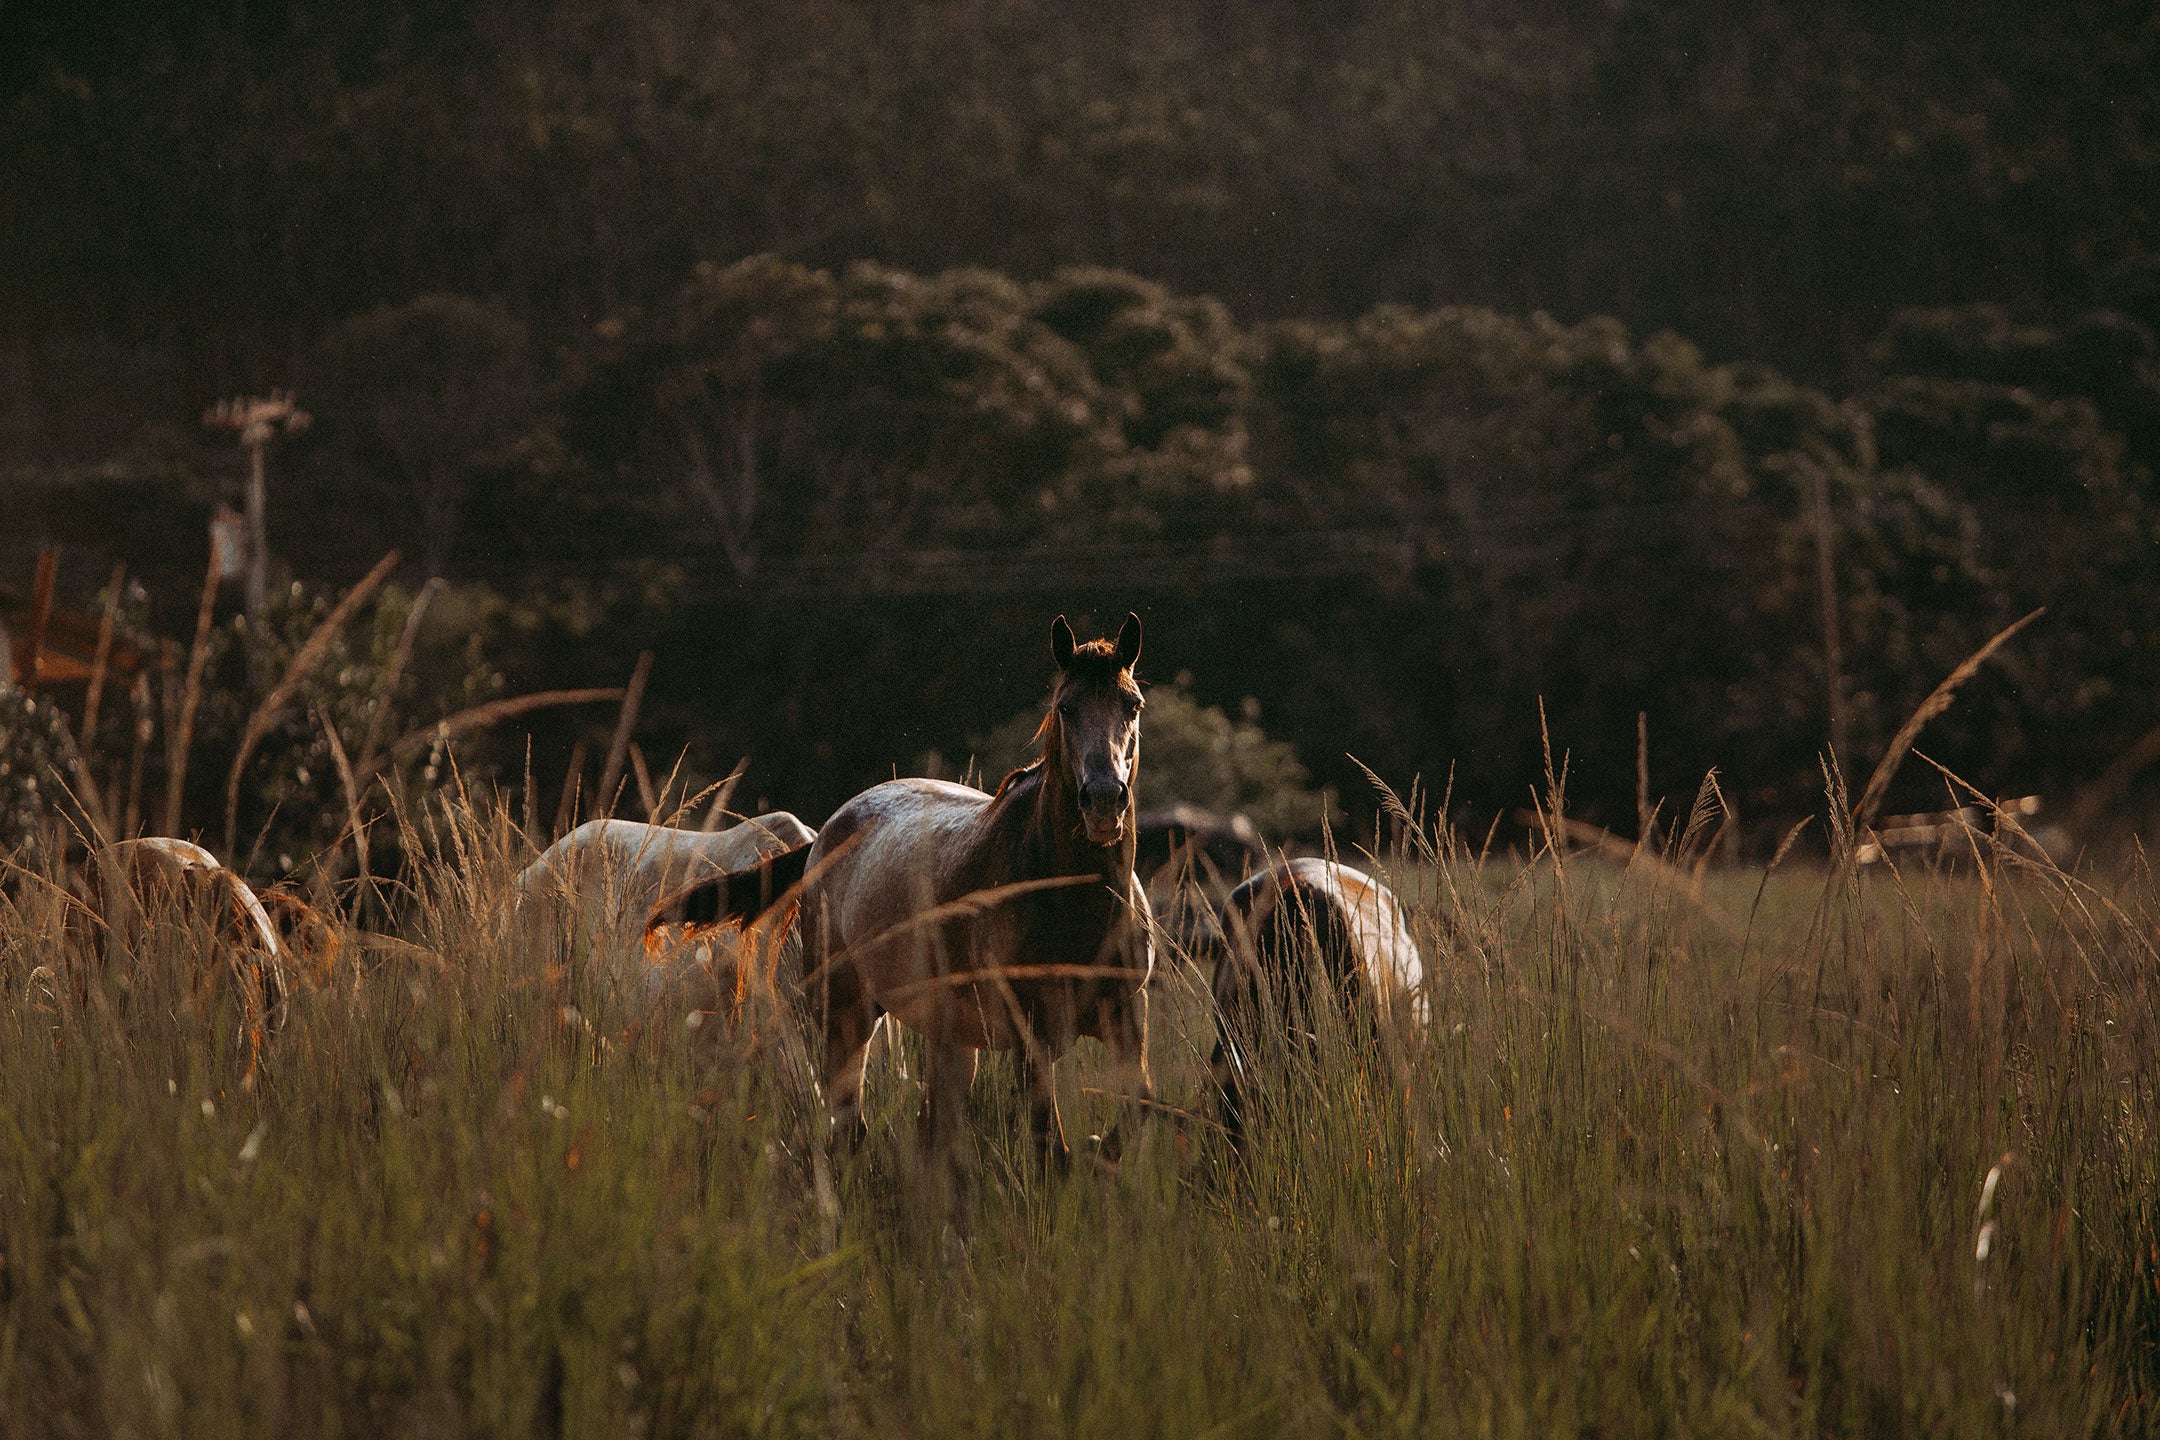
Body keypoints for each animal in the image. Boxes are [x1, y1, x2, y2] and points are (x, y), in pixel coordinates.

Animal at [665, 613, 1157, 1165]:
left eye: (1133, 704)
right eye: (1065, 708)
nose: (1104, 801)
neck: (1070, 901)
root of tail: (824, 834)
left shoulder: (1127, 1015)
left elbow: (1136, 1108)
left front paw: (1101, 1153)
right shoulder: (1031, 1032)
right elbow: (1050, 1146)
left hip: (950, 1038)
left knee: (930, 1133)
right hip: (847, 1014)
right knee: (849, 1127)